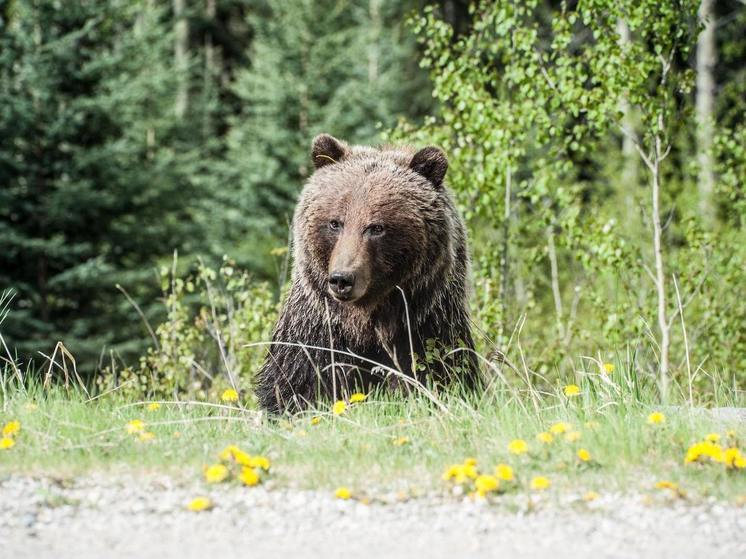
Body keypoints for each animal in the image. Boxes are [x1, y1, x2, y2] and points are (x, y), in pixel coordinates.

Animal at [256, 133, 476, 414]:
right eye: (335, 223)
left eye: (376, 227)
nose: (342, 279)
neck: (366, 322)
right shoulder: (316, 333)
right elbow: (295, 385)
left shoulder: (426, 328)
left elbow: (441, 374)